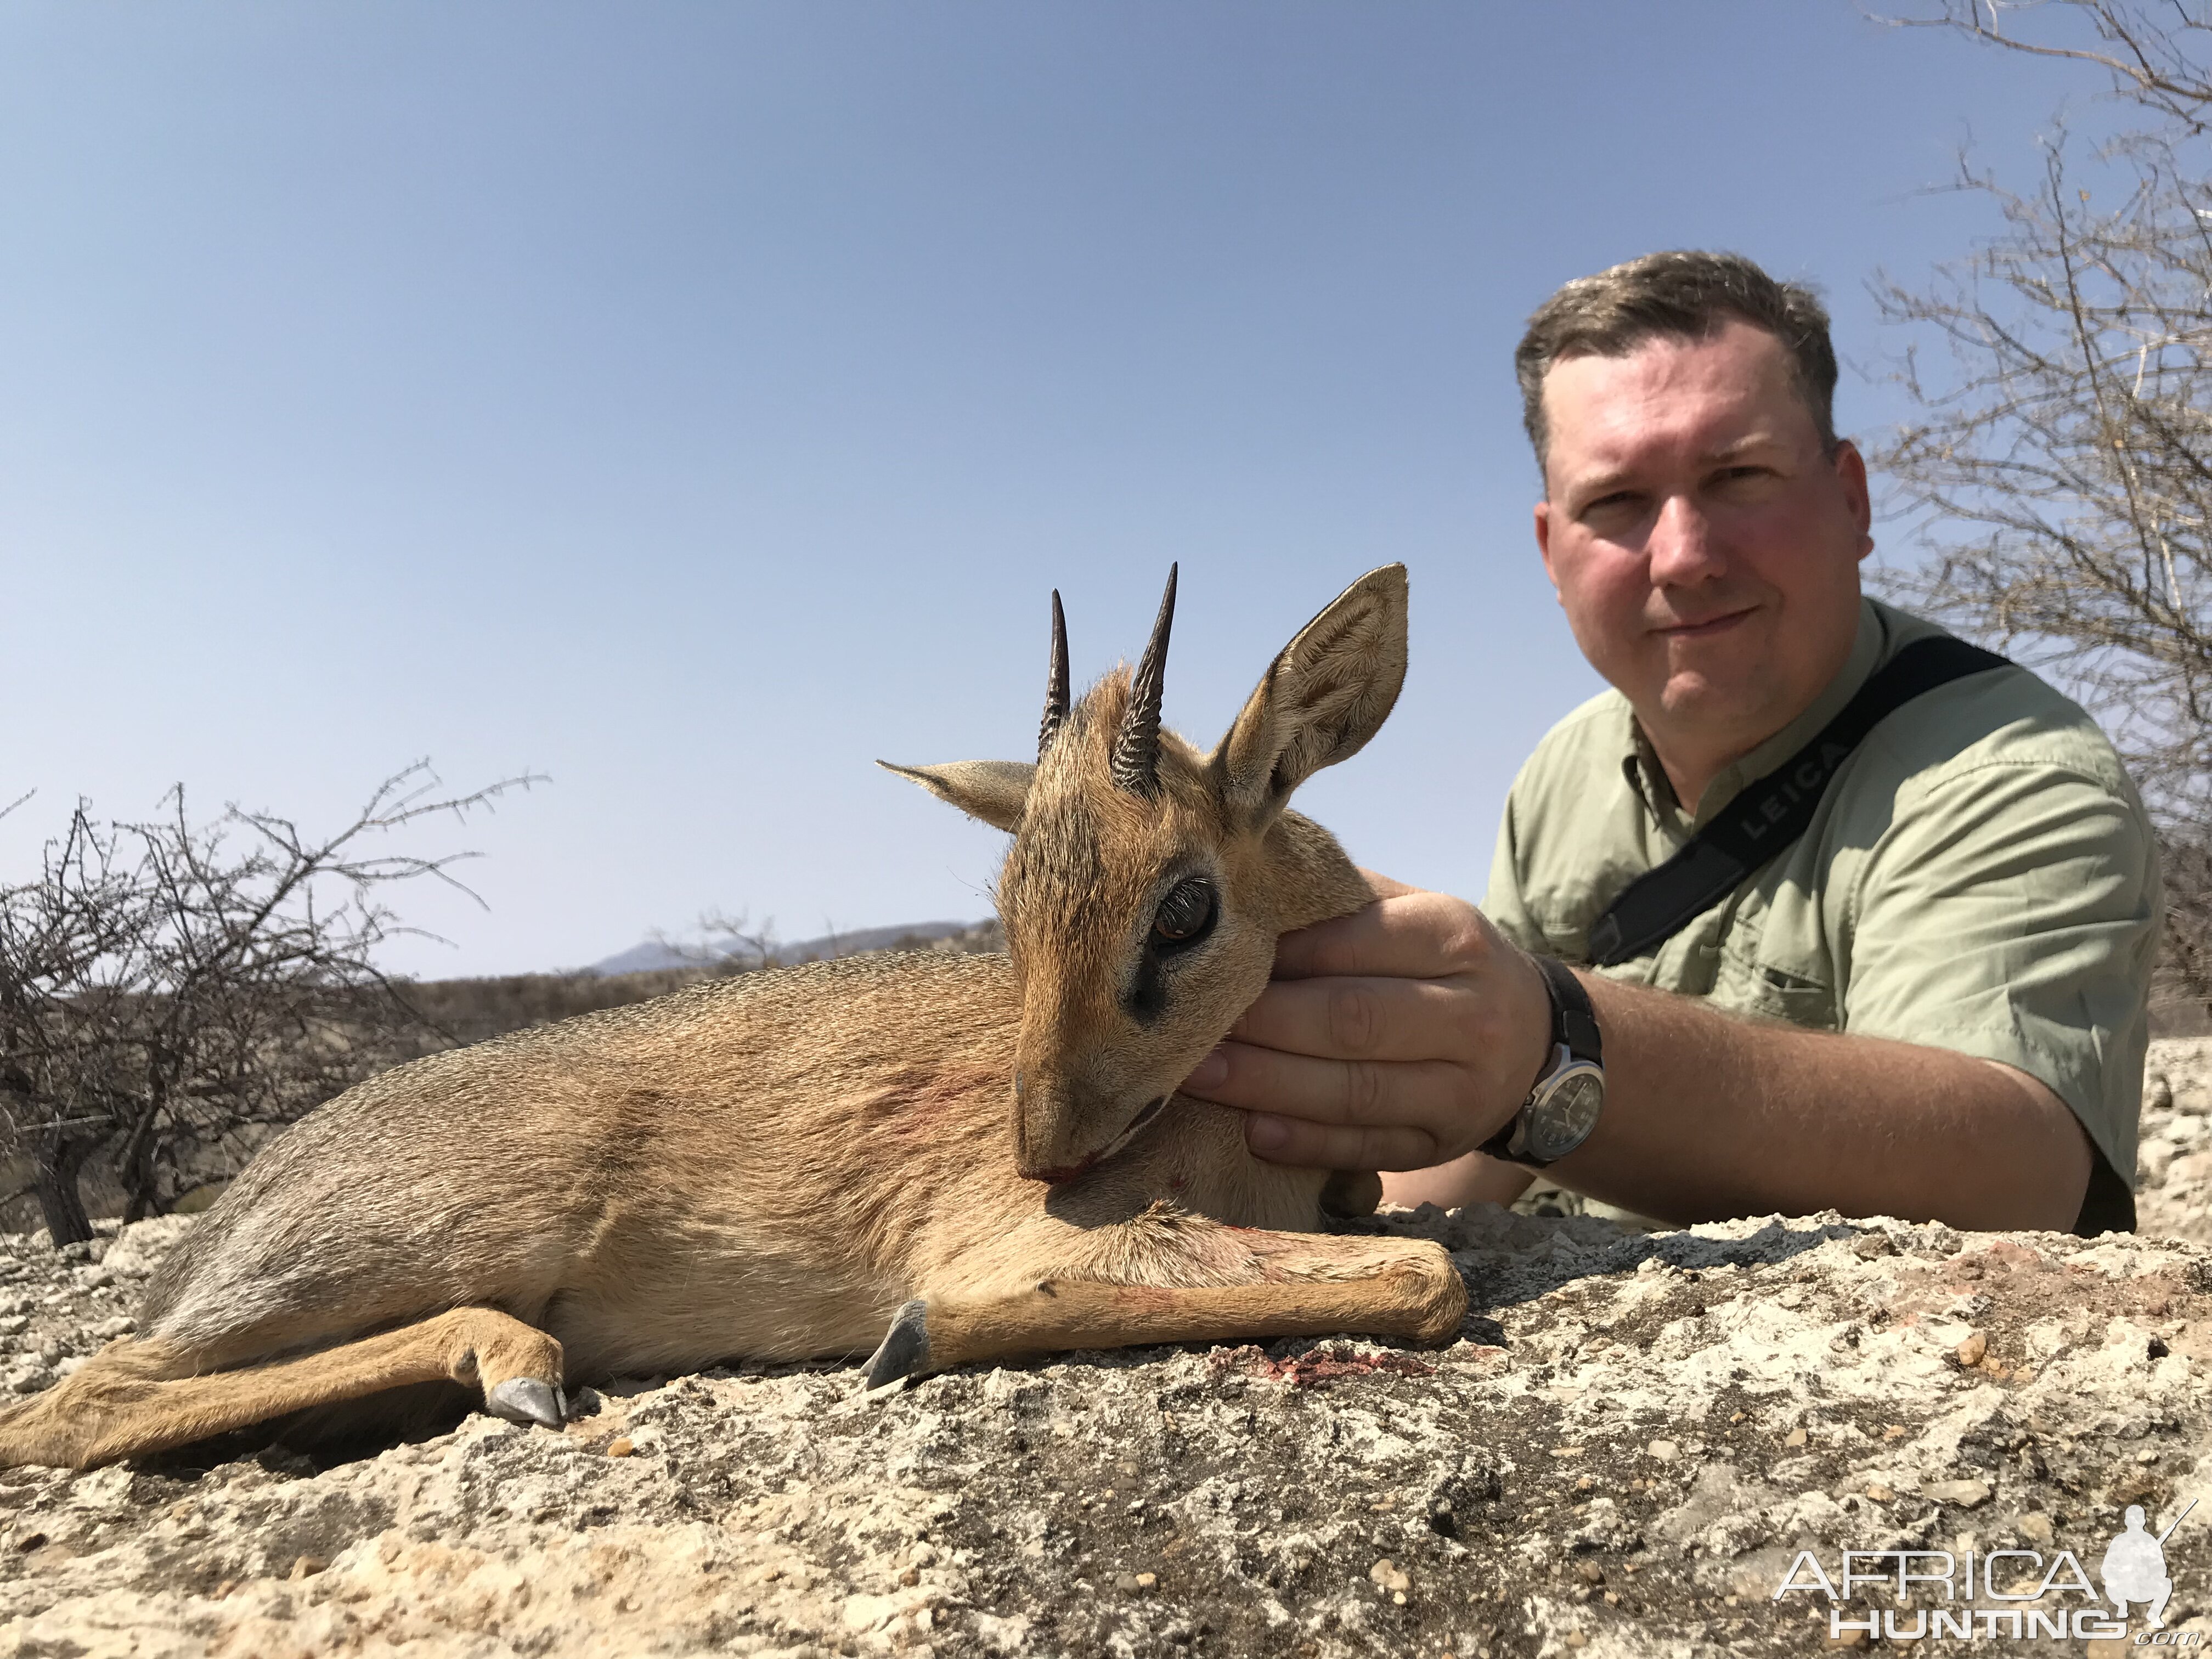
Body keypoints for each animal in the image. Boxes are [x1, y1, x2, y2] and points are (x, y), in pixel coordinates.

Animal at [13, 566, 1469, 1477]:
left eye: (1183, 907)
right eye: (1006, 902)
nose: (1045, 1154)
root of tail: (234, 1216)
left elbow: (1419, 1264)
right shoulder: (1038, 1240)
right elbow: (1430, 1277)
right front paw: (914, 1334)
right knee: (74, 1398)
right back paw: (514, 1362)